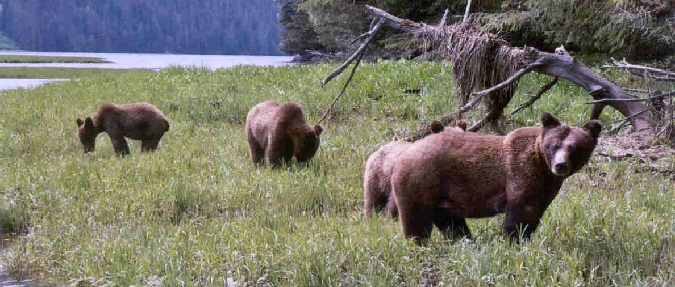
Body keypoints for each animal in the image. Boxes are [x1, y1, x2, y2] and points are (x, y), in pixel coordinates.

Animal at [390, 113, 604, 245]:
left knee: (452, 223)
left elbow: (535, 212)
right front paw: (515, 241)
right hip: (421, 181)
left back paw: (465, 241)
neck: (542, 167)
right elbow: (520, 214)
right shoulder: (521, 173)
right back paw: (419, 245)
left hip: (444, 197)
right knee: (416, 221)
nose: (560, 166)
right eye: (554, 145)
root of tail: (403, 154)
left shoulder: (545, 188)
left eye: (574, 148)